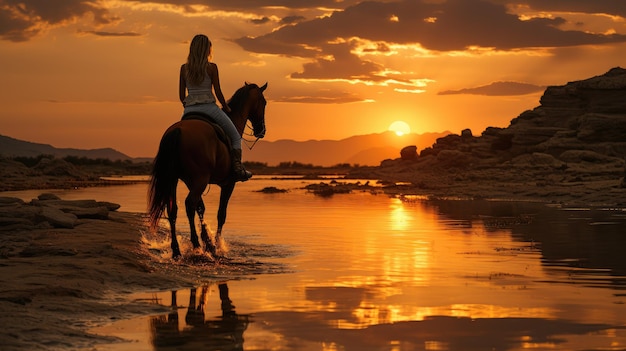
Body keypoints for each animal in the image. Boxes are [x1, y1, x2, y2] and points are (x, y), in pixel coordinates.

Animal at [148, 82, 266, 258]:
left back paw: (176, 250)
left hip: (176, 179)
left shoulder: (191, 181)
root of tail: (177, 130)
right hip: (200, 179)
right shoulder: (228, 184)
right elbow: (221, 214)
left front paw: (208, 242)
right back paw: (195, 245)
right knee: (189, 204)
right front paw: (216, 244)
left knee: (173, 209)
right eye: (264, 103)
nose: (261, 130)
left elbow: (201, 208)